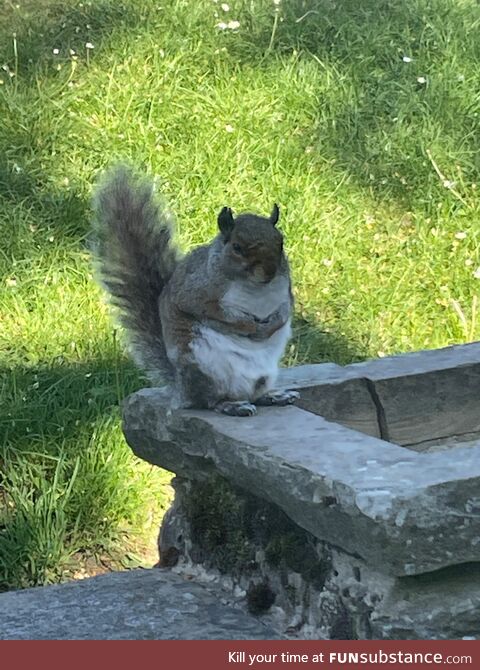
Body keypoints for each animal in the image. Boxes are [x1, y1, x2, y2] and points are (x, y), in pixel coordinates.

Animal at [92, 168, 298, 418]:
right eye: (237, 247)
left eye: (281, 242)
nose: (269, 272)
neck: (256, 287)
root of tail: (181, 390)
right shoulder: (197, 293)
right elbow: (216, 313)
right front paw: (250, 326)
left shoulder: (286, 290)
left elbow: (285, 310)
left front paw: (273, 324)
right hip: (204, 369)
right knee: (209, 401)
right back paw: (230, 405)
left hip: (262, 377)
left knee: (254, 395)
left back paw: (272, 396)